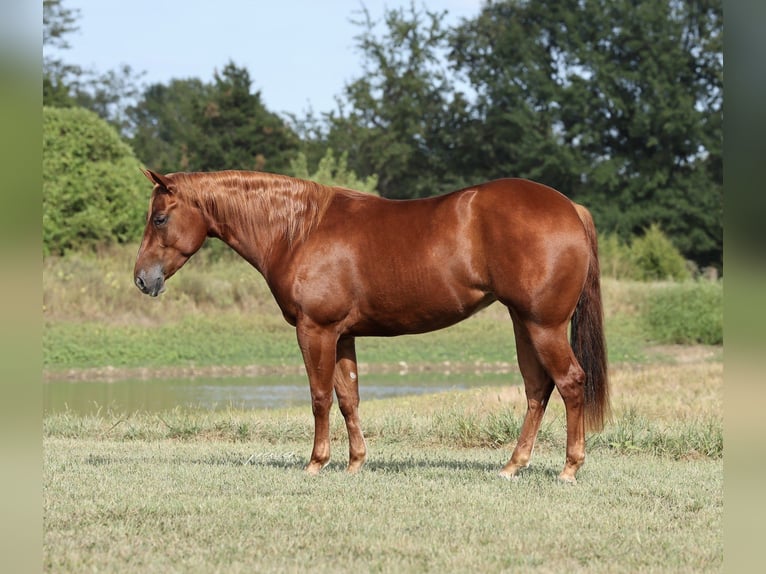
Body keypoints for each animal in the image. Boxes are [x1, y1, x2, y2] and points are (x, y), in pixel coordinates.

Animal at [134, 169, 610, 482]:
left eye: (159, 218)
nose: (142, 279)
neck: (299, 231)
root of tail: (570, 207)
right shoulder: (342, 335)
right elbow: (349, 398)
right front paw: (355, 462)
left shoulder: (315, 330)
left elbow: (320, 397)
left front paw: (316, 462)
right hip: (523, 322)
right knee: (537, 389)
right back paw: (512, 466)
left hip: (544, 325)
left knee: (570, 382)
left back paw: (569, 469)